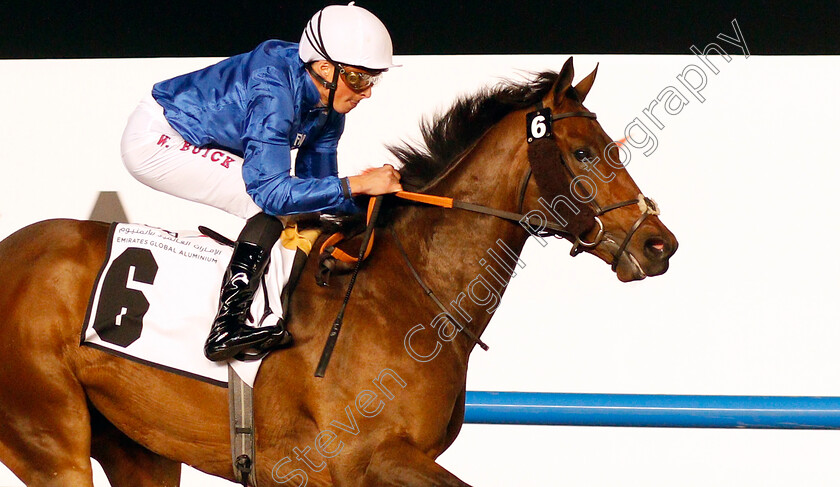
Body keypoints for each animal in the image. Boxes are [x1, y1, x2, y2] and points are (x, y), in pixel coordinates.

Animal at [0, 58, 676, 487]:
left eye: (613, 148)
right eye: (583, 153)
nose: (659, 244)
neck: (410, 296)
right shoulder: (361, 458)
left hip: (139, 448)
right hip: (50, 439)